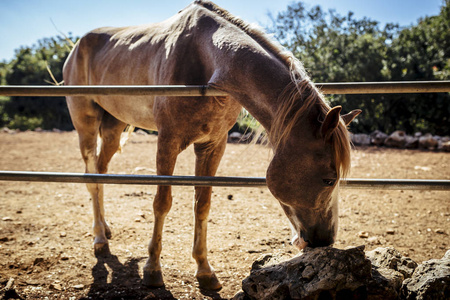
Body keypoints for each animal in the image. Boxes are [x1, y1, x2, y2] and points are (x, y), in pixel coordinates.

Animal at [61, 0, 360, 290]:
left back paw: (105, 229)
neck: (204, 60)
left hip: (113, 126)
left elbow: (202, 205)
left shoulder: (213, 145)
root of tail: (77, 46)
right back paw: (99, 239)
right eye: (329, 179)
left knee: (100, 171)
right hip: (86, 124)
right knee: (91, 175)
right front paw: (153, 269)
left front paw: (204, 270)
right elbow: (162, 203)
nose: (325, 241)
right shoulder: (167, 141)